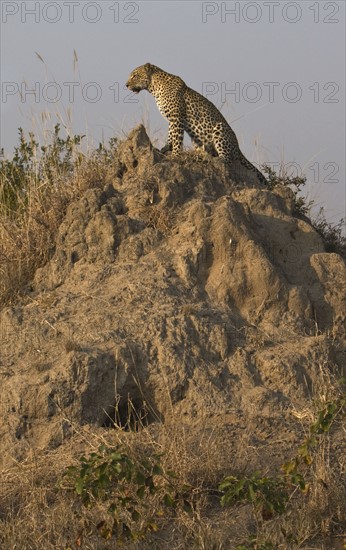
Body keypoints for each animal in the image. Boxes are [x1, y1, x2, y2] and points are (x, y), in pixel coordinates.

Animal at [125, 63, 266, 187]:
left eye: (135, 75)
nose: (126, 85)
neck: (154, 87)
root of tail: (238, 147)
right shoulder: (172, 119)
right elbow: (170, 135)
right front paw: (166, 148)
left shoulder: (177, 118)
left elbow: (177, 139)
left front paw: (175, 155)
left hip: (220, 127)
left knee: (227, 159)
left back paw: (212, 160)